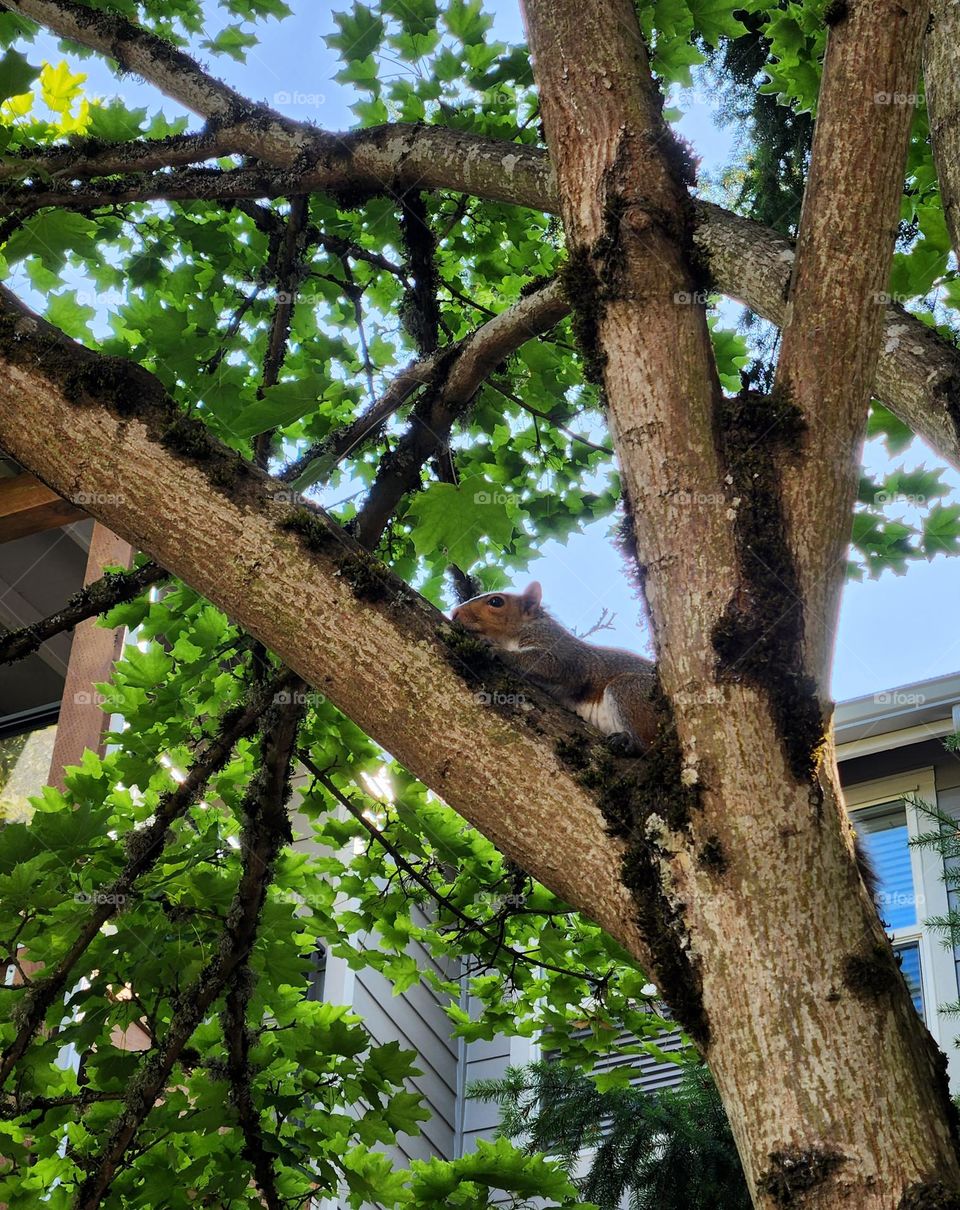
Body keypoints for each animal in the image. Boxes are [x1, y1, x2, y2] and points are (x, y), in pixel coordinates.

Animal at [450, 580, 658, 750]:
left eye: (496, 602)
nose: (454, 613)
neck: (511, 637)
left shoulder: (564, 652)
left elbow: (552, 665)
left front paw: (497, 650)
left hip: (633, 691)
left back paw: (629, 741)